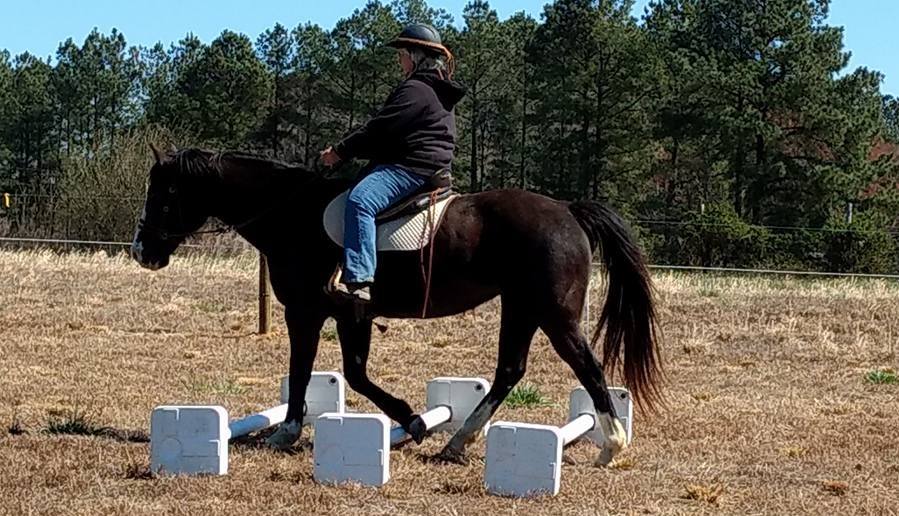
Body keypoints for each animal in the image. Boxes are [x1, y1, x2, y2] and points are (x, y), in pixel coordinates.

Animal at [130, 146, 662, 466]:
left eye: (165, 195)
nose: (142, 251)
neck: (293, 216)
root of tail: (568, 211)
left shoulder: (312, 312)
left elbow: (313, 371)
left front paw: (294, 430)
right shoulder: (349, 315)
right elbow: (350, 373)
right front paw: (412, 421)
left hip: (554, 314)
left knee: (587, 368)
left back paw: (611, 444)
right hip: (522, 308)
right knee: (510, 370)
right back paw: (457, 441)